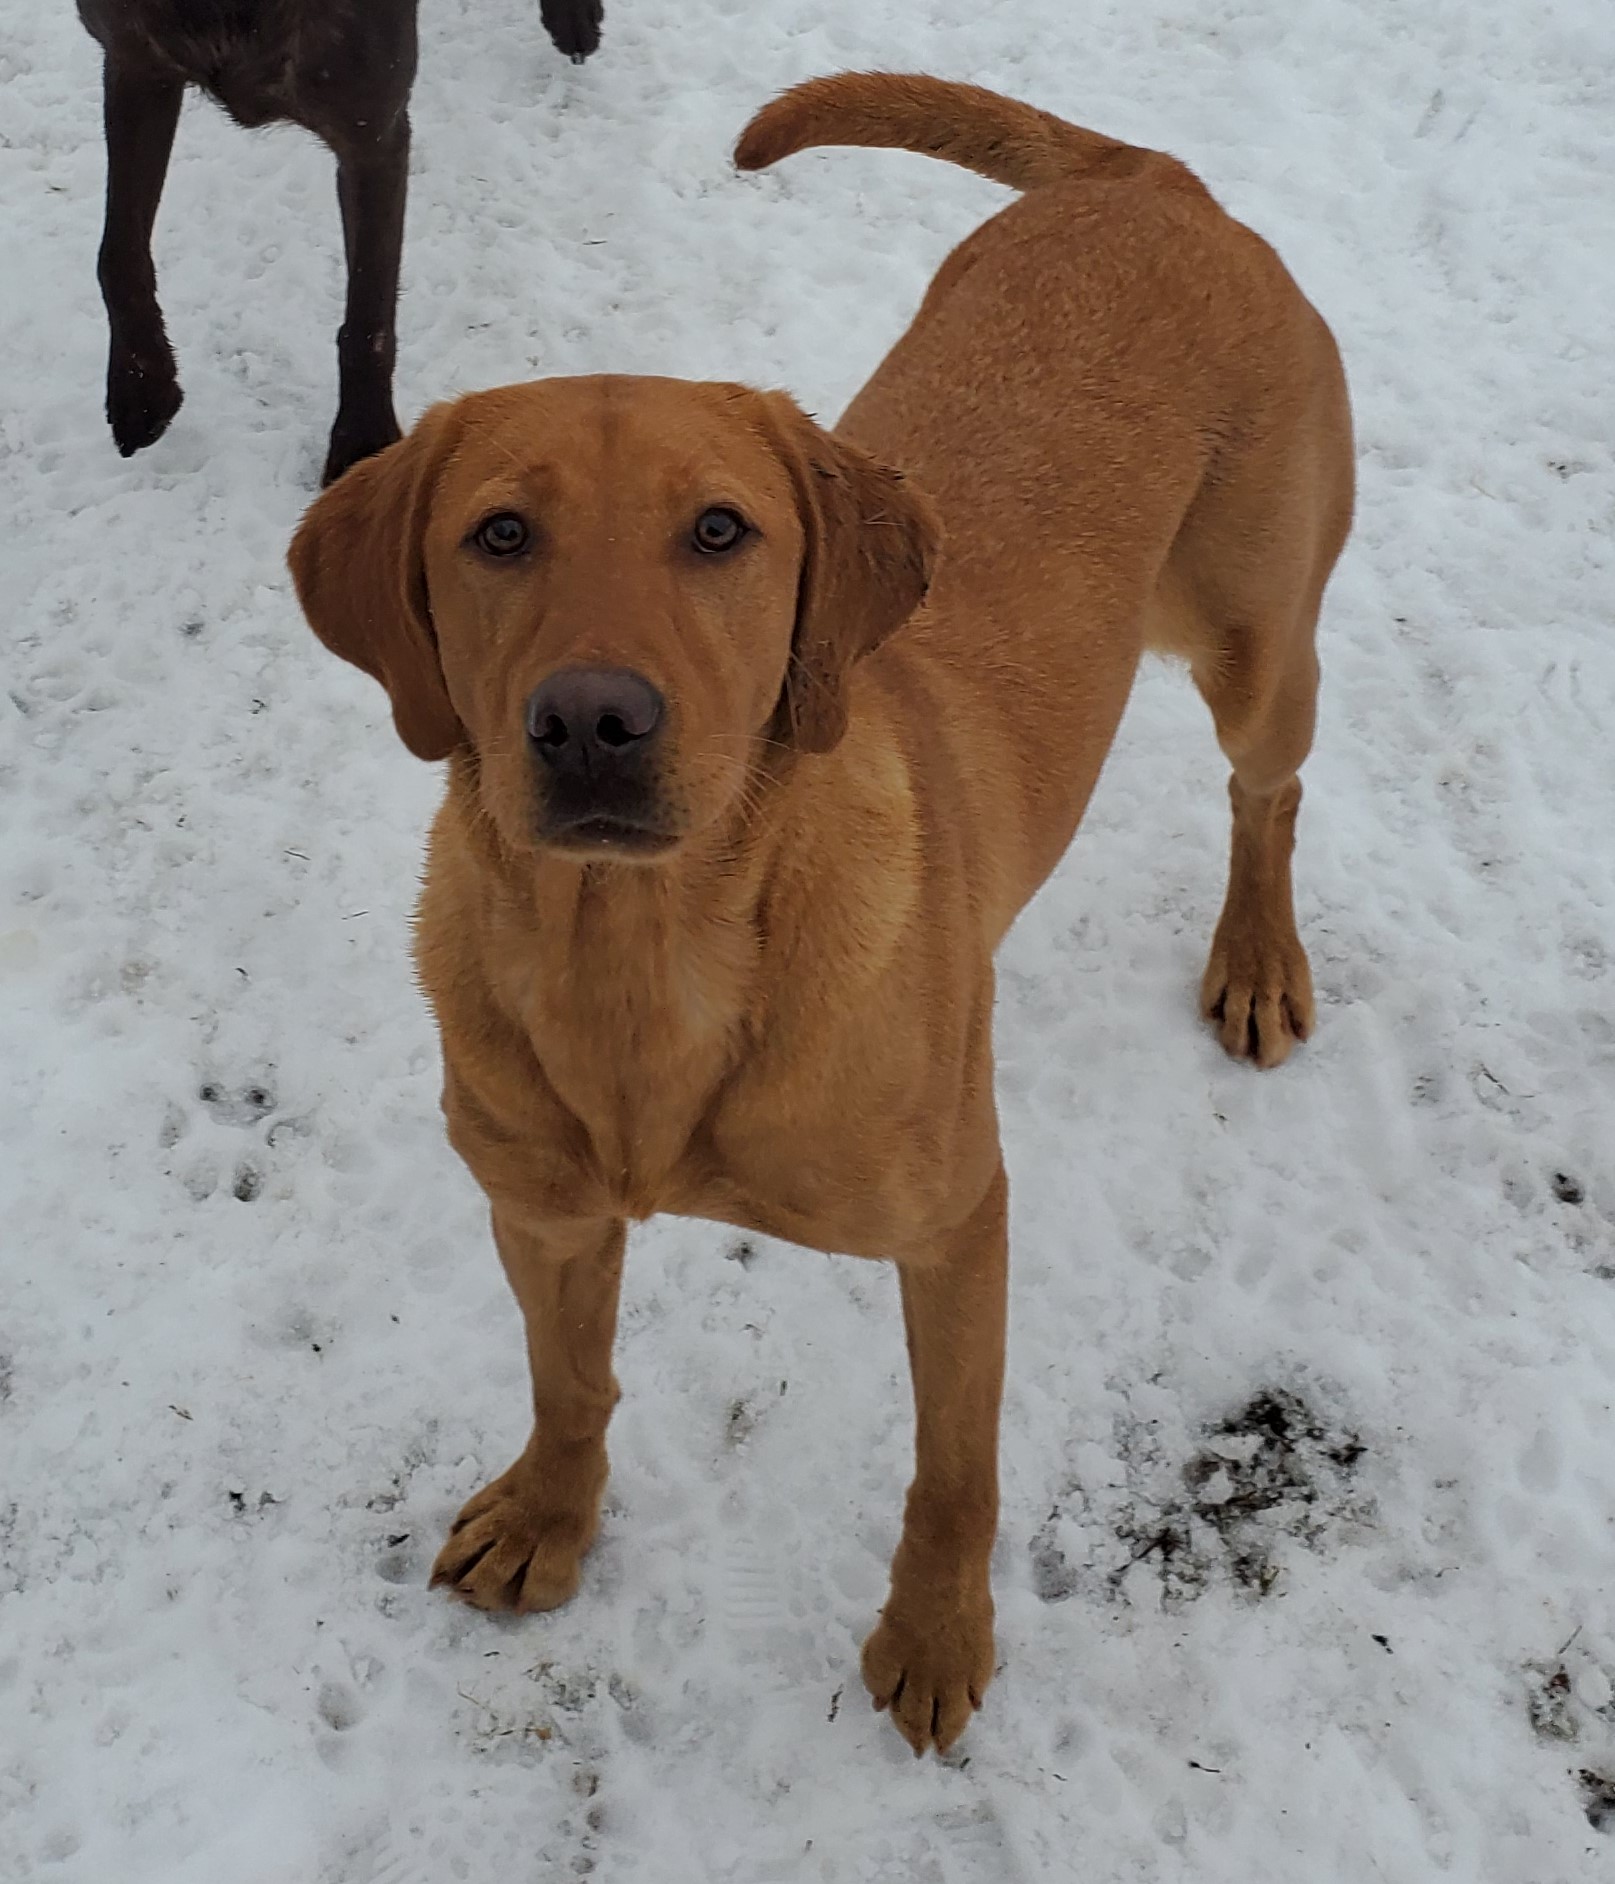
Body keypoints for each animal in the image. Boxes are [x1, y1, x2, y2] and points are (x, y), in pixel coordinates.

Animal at [290, 69, 1349, 1748]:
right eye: (498, 535)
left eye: (720, 531)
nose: (590, 722)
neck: (643, 960)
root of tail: (1152, 184)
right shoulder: (540, 1211)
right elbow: (568, 1383)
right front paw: (550, 1516)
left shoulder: (958, 1223)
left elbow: (954, 1470)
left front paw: (934, 1635)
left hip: (1255, 640)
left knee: (1266, 791)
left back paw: (1254, 956)